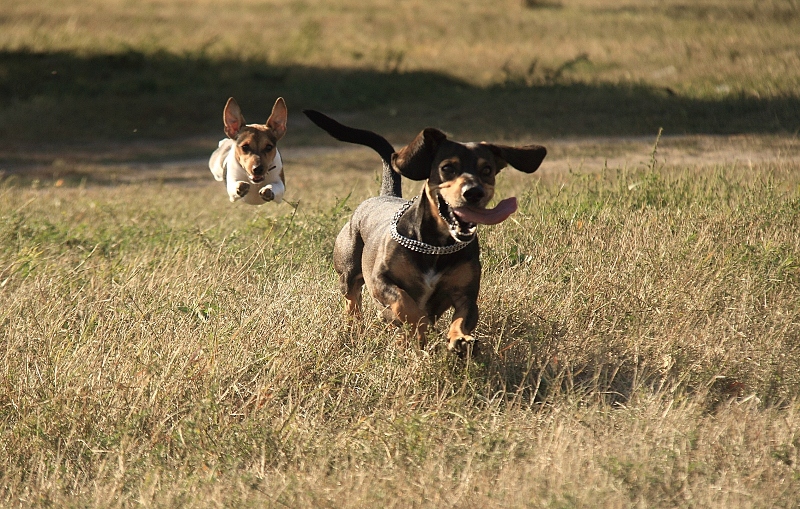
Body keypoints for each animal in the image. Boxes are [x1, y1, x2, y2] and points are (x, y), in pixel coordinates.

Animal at [304, 110, 548, 354]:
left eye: (487, 170)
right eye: (447, 168)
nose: (473, 192)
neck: (436, 246)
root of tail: (385, 195)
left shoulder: (466, 295)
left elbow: (461, 318)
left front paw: (460, 339)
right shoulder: (380, 281)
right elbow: (406, 304)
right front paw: (418, 328)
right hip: (348, 272)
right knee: (352, 301)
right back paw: (357, 330)